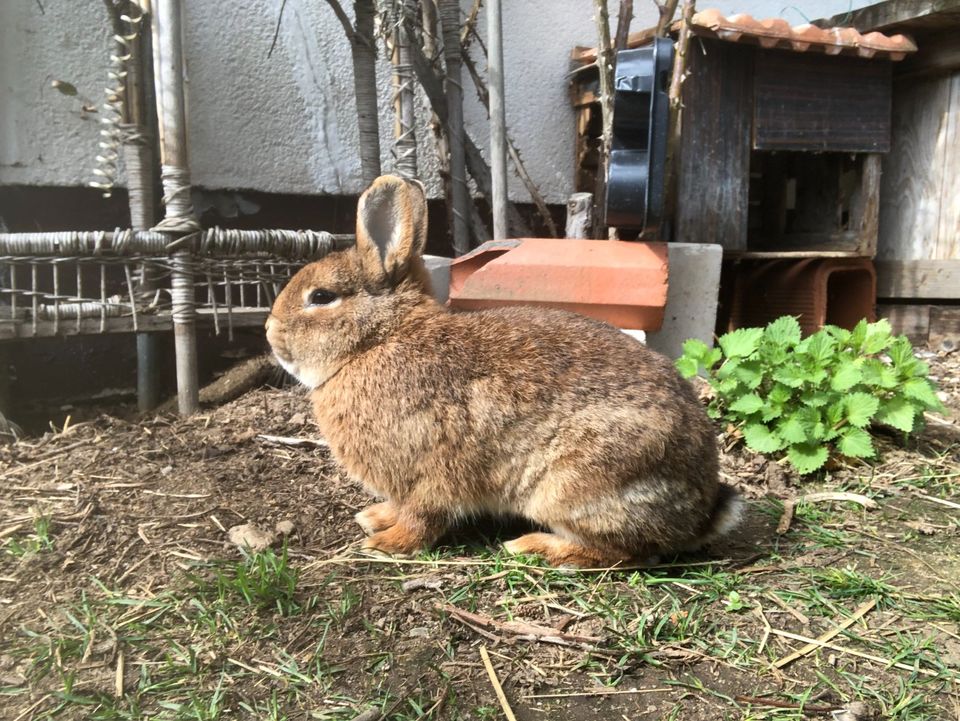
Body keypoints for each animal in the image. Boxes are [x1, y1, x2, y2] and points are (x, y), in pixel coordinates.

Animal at [266, 176, 740, 568]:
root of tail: (700, 513)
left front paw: (386, 543)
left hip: (573, 487)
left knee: (625, 552)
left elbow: (423, 516)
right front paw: (374, 517)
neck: (379, 340)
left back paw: (533, 546)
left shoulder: (431, 473)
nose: (270, 332)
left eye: (321, 297)